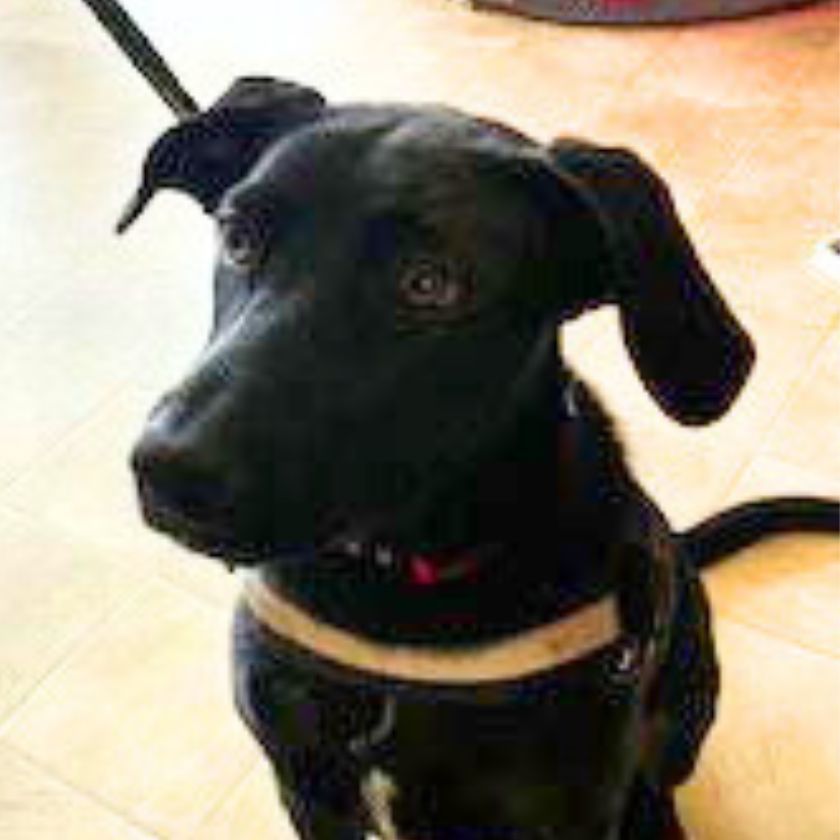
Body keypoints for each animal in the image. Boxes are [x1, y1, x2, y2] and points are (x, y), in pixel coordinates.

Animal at [124, 77, 840, 832]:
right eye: (237, 238)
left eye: (430, 284)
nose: (167, 468)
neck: (399, 590)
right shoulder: (306, 787)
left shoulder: (567, 810)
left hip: (684, 707)